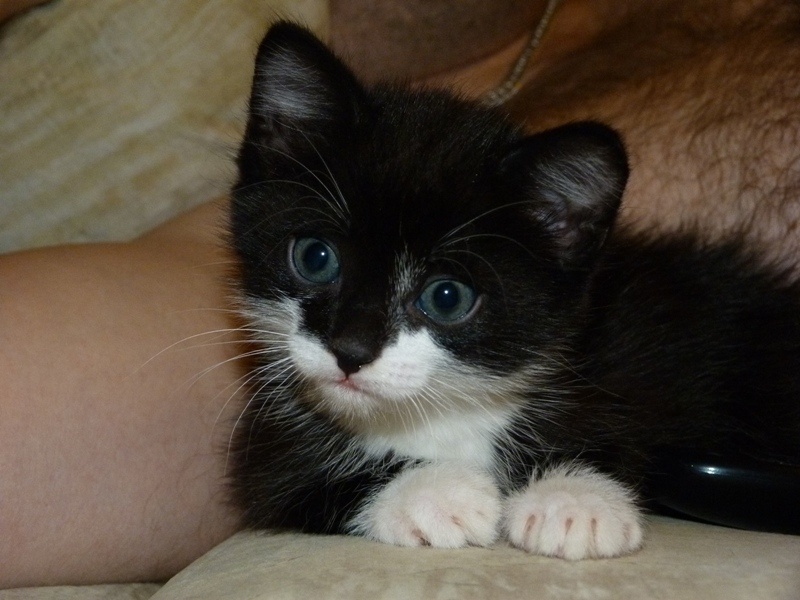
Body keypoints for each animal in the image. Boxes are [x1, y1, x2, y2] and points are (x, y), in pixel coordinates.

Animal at [227, 21, 800, 560]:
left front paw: (575, 498)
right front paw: (434, 493)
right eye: (315, 257)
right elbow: (289, 479)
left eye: (446, 297)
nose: (349, 350)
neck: (448, 406)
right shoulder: (269, 442)